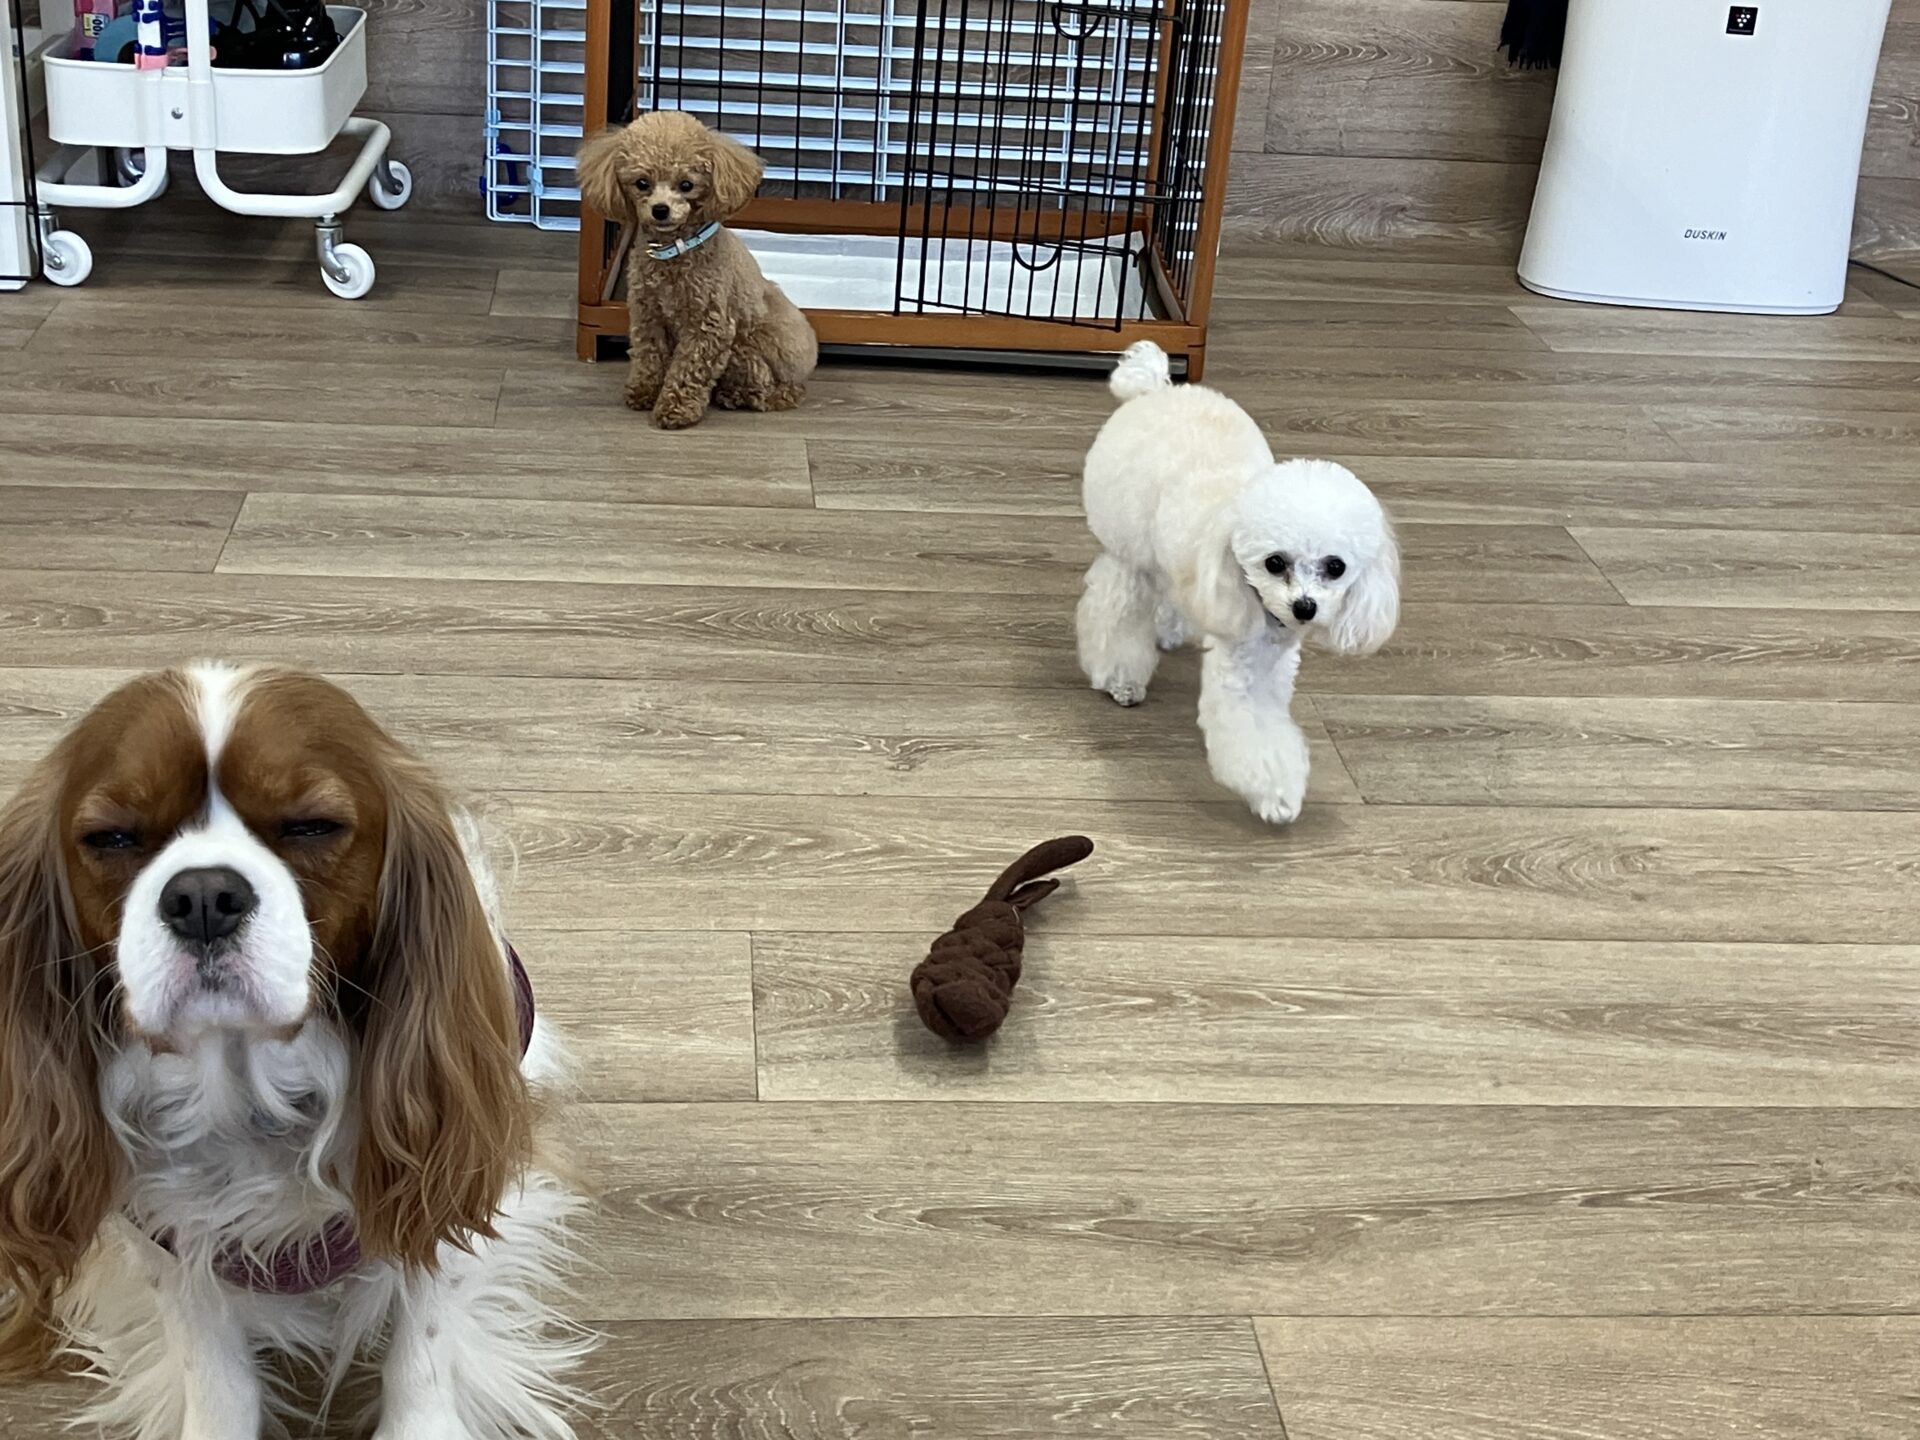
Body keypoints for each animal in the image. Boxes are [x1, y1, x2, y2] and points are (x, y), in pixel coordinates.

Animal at [0, 665, 590, 1438]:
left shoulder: (441, 1179)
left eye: (311, 825)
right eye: (113, 836)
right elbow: (213, 1369)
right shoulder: (173, 1240)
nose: (204, 896)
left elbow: (422, 1345)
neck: (244, 1093)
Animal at [577, 109, 818, 430]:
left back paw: (736, 395)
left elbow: (689, 370)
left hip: (746, 350)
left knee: (769, 391)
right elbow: (649, 355)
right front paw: (644, 391)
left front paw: (675, 410)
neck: (675, 251)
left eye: (686, 185)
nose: (661, 210)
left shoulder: (708, 325)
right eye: (642, 183)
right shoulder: (648, 314)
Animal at [1077, 342, 1400, 824]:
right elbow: (1254, 735)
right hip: (1128, 546)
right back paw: (1120, 676)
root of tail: (1156, 388)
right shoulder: (1240, 664)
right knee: (1115, 606)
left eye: (1336, 566)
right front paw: (1277, 796)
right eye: (1274, 562)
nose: (1305, 608)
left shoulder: (1273, 663)